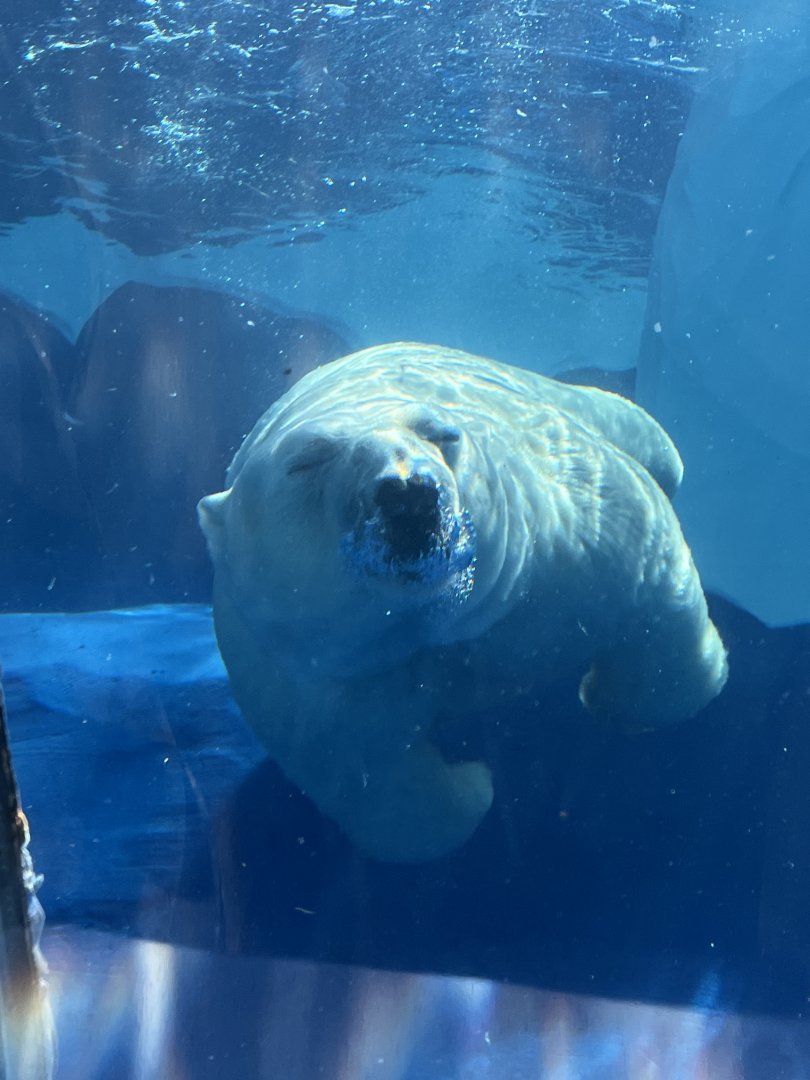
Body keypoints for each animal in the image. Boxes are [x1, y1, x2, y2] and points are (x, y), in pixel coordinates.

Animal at [198, 342, 728, 862]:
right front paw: (478, 784)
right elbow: (373, 784)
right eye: (307, 460)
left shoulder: (570, 532)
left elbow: (651, 580)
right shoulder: (311, 681)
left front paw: (607, 699)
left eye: (441, 433)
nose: (407, 491)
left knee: (639, 433)